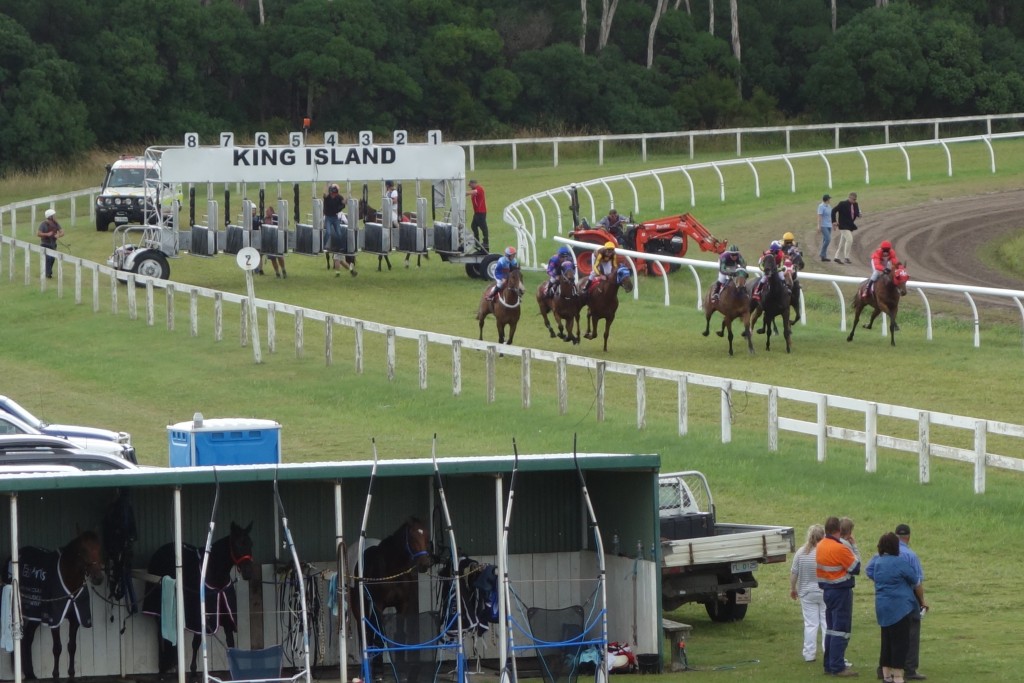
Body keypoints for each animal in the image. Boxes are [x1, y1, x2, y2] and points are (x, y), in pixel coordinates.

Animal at [3, 528, 103, 679]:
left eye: (99, 548)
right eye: (83, 550)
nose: (98, 578)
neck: (69, 582)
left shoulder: (75, 620)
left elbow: (72, 647)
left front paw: (71, 674)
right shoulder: (54, 619)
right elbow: (57, 648)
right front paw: (55, 675)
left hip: (35, 614)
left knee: (28, 638)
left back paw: (31, 674)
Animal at [142, 524, 253, 679]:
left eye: (250, 544)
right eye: (236, 544)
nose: (249, 572)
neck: (214, 576)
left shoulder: (226, 616)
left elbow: (230, 643)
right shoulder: (199, 617)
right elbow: (196, 642)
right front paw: (193, 670)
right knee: (161, 635)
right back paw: (162, 668)